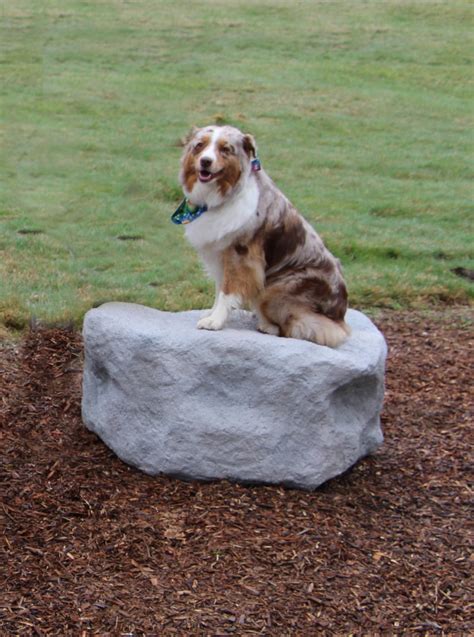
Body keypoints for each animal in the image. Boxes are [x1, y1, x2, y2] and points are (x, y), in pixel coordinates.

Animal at [176, 125, 350, 348]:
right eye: (200, 145)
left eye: (225, 149)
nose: (205, 161)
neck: (226, 194)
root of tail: (339, 317)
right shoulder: (220, 254)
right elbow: (219, 288)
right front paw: (212, 313)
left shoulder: (241, 255)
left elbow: (227, 291)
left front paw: (215, 321)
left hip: (274, 289)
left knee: (310, 328)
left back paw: (267, 325)